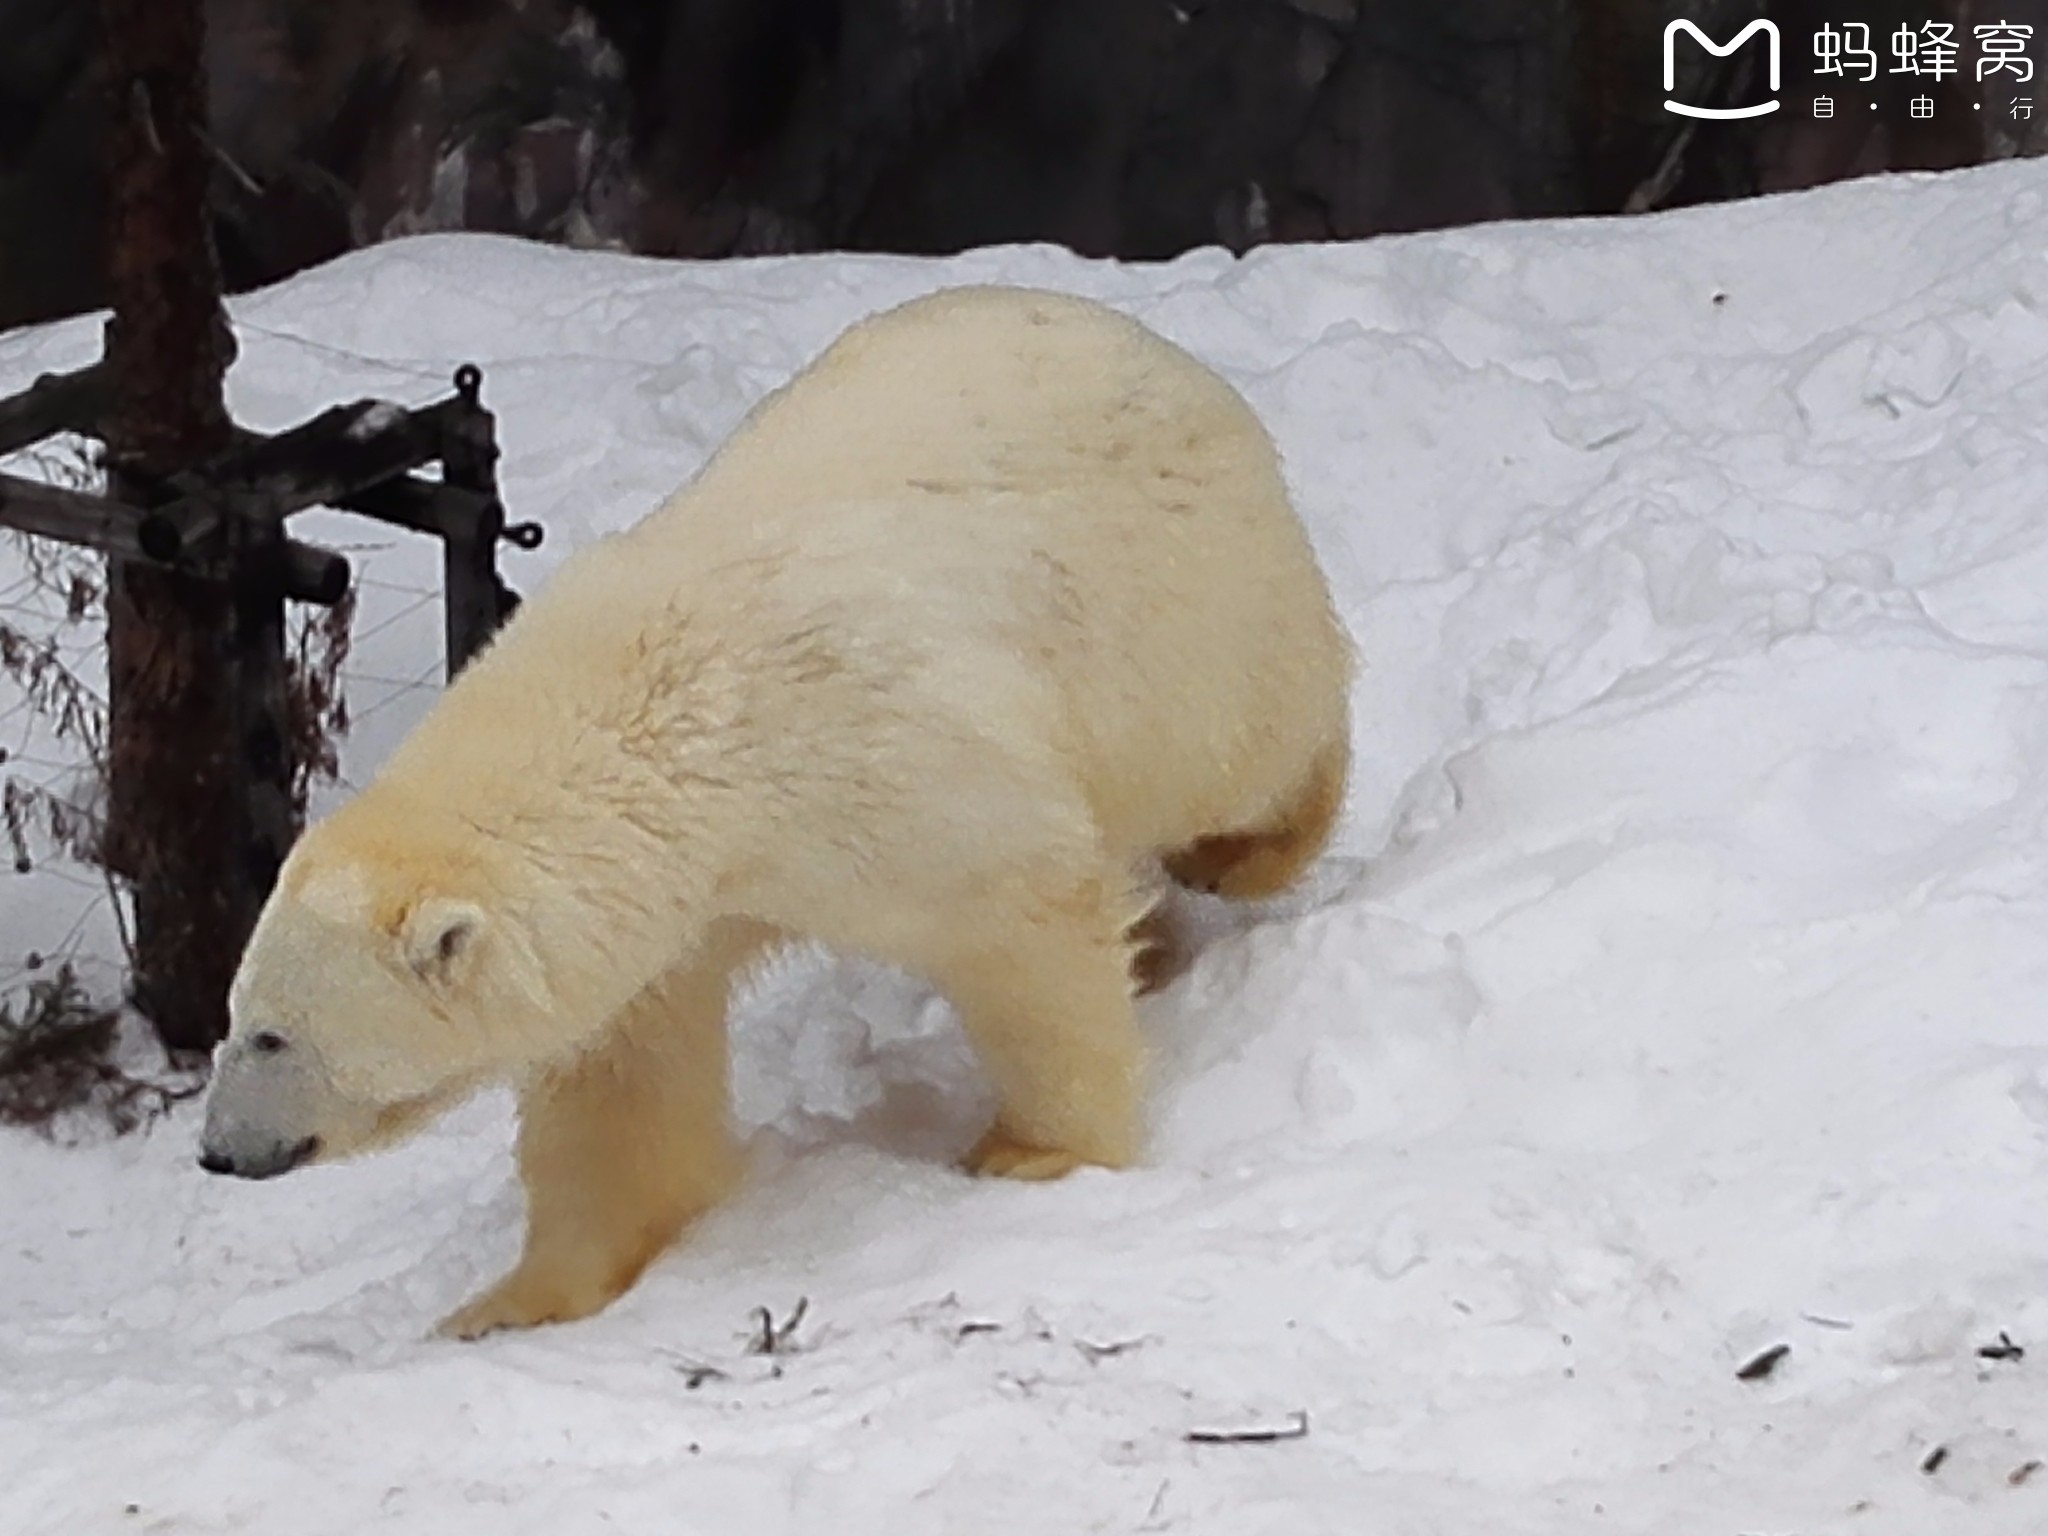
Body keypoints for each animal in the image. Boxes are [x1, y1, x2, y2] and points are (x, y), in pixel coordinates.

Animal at [199, 282, 1359, 1343]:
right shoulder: (668, 904)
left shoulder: (882, 757)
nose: (218, 1152)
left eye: (271, 1036)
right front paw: (511, 1305)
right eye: (234, 1020)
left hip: (1178, 598)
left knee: (1251, 746)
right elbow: (623, 1094)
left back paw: (1242, 853)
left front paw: (1035, 1150)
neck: (664, 726)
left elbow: (1019, 916)